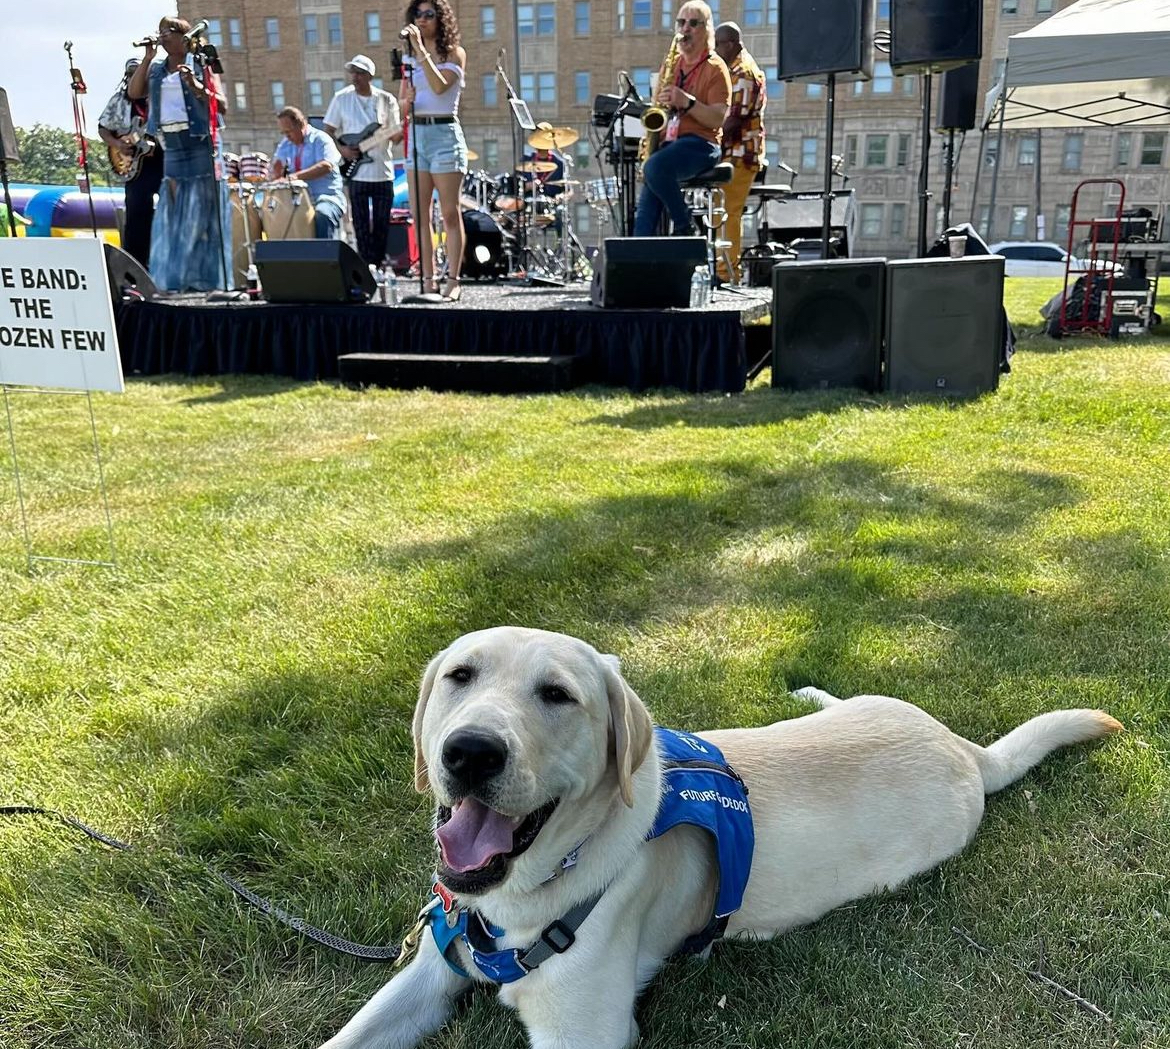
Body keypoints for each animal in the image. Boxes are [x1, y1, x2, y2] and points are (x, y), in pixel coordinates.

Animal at [318, 631, 1113, 1047]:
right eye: (460, 675)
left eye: (557, 695)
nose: (470, 752)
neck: (522, 899)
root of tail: (965, 750)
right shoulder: (430, 971)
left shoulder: (583, 1032)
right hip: (879, 703)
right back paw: (808, 691)